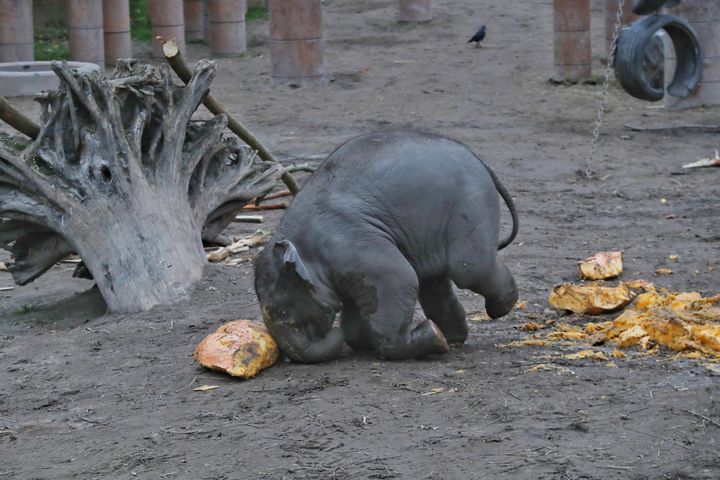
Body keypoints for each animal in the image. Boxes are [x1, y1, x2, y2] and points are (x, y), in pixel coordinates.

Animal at [253, 129, 516, 362]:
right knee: (434, 282)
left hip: (470, 204)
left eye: (283, 312)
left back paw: (495, 311)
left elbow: (399, 278)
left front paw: (431, 339)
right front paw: (361, 341)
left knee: (469, 268)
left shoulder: (352, 242)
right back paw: (454, 338)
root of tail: (477, 157)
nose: (333, 333)